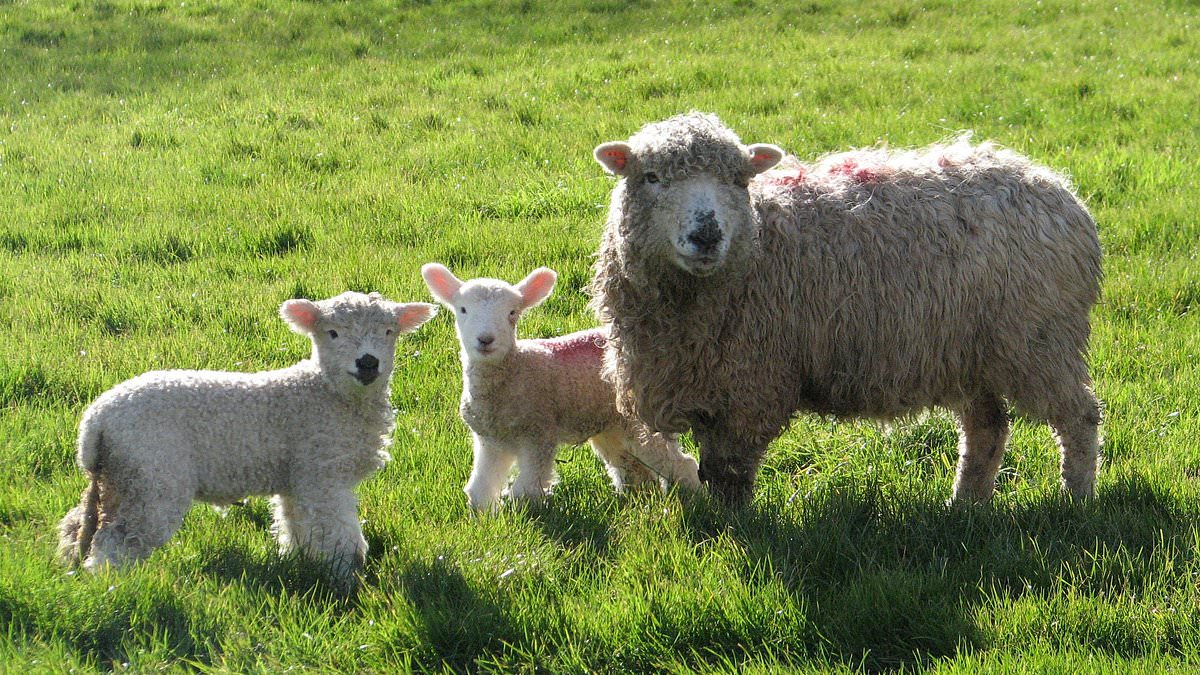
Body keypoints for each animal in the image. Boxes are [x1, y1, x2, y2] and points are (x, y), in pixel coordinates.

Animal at [56, 291, 439, 586]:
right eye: (332, 333)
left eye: (388, 331)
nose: (368, 363)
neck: (325, 393)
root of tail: (96, 422)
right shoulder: (322, 473)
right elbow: (336, 531)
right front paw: (345, 575)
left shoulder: (297, 477)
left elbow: (295, 524)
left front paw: (300, 561)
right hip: (152, 476)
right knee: (118, 540)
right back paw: (111, 585)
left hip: (118, 478)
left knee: (80, 525)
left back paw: (71, 565)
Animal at [424, 263, 700, 509]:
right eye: (462, 310)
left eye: (512, 313)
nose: (485, 339)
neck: (515, 370)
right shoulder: (490, 440)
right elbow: (481, 487)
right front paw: (484, 517)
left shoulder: (538, 432)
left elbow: (527, 489)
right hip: (612, 423)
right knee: (632, 467)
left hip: (642, 418)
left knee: (678, 462)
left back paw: (696, 498)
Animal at [585, 111, 1099, 504]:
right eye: (652, 178)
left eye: (737, 180)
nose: (706, 235)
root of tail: (1057, 189)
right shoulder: (709, 382)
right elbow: (712, 470)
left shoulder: (752, 384)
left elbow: (729, 472)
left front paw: (733, 529)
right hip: (968, 352)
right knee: (987, 428)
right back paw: (966, 504)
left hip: (1038, 341)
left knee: (1079, 417)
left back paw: (1075, 500)